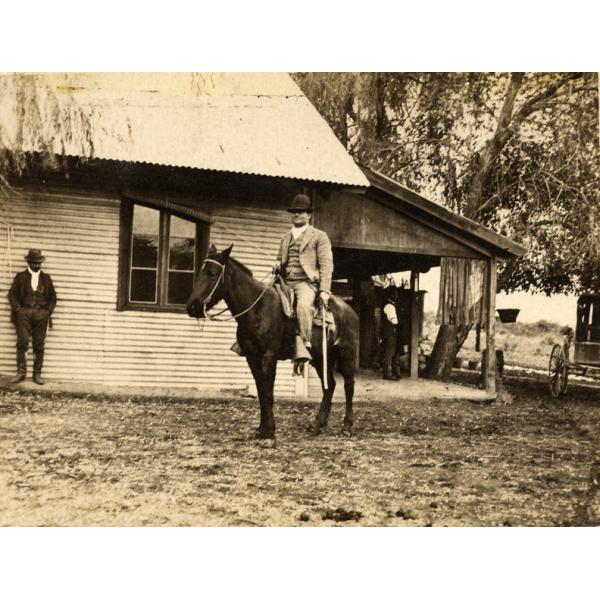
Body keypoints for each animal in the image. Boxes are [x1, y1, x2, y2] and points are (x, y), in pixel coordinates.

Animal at [185, 244, 358, 446]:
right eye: (200, 272)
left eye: (212, 273)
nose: (192, 307)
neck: (257, 308)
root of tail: (349, 310)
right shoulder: (252, 357)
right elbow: (261, 390)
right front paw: (261, 429)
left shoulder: (269, 356)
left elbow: (268, 391)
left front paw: (269, 434)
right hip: (321, 357)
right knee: (329, 385)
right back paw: (317, 425)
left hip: (346, 354)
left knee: (348, 385)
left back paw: (347, 427)